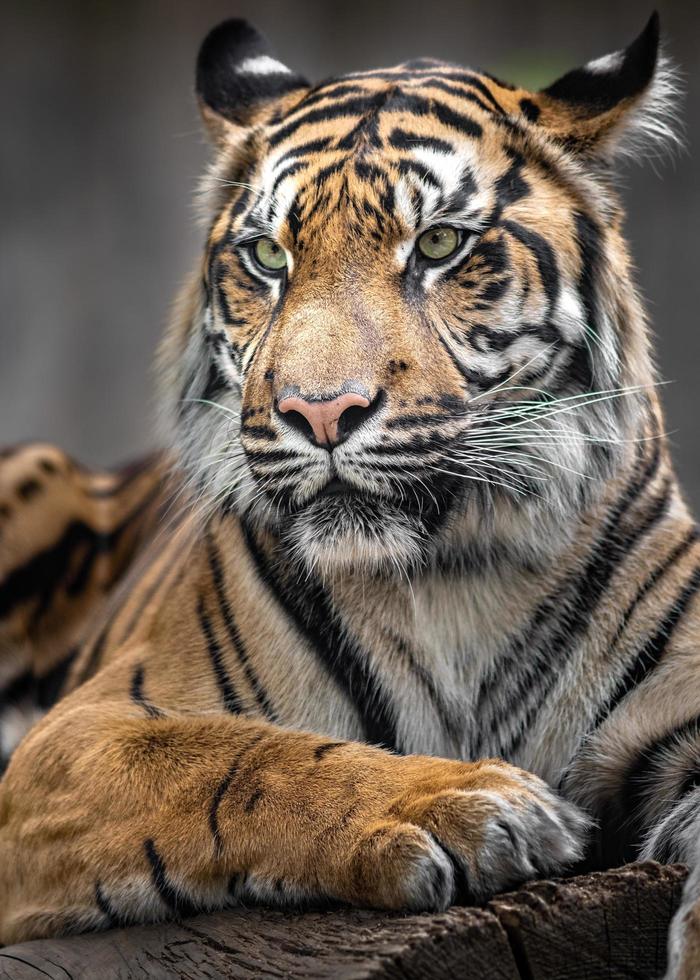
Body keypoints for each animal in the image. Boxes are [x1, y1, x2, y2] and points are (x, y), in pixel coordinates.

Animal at [1, 9, 700, 980]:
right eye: (267, 256)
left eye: (439, 244)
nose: (319, 410)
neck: (458, 581)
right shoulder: (78, 736)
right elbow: (237, 756)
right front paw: (465, 804)